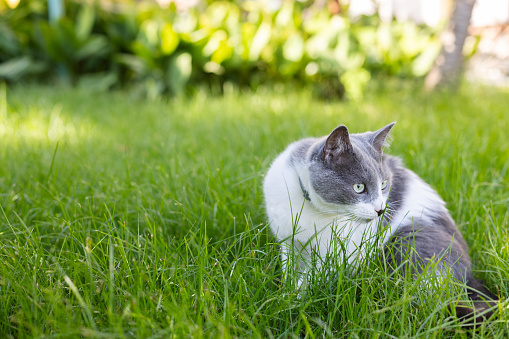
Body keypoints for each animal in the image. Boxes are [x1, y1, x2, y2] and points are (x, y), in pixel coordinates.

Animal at [264, 123, 494, 324]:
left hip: (410, 241)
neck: (314, 209)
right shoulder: (288, 241)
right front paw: (284, 293)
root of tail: (469, 275)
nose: (380, 210)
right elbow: (288, 267)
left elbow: (312, 276)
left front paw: (287, 302)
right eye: (358, 187)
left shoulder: (338, 252)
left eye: (383, 184)